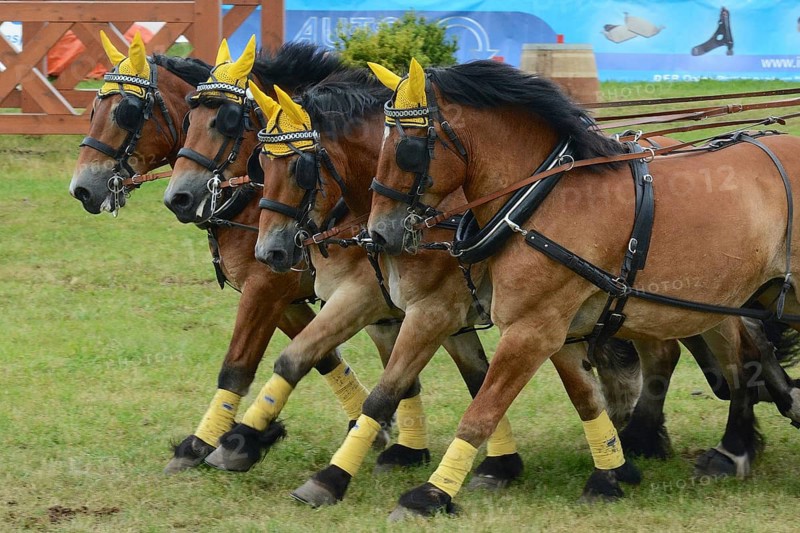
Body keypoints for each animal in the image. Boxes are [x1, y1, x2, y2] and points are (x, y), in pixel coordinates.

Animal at [69, 33, 386, 473]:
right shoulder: (283, 297)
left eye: (128, 113)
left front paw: (205, 443)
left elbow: (236, 366)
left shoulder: (267, 288)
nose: (81, 188)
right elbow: (321, 355)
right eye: (94, 108)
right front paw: (366, 425)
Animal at [365, 59, 800, 516]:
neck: (540, 197)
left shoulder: (530, 330)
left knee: (741, 362)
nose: (378, 234)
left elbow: (481, 411)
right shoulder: (562, 329)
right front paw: (609, 476)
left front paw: (429, 494)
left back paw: (731, 447)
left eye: (406, 147)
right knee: (741, 360)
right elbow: (587, 401)